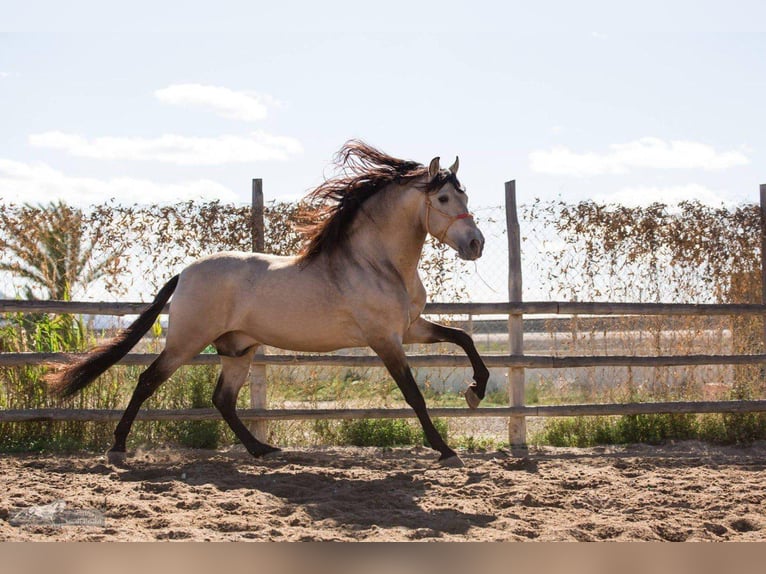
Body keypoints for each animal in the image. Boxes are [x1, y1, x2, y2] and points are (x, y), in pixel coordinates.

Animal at [48, 141, 488, 468]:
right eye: (444, 197)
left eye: (465, 194)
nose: (475, 244)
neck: (376, 262)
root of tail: (184, 273)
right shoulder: (384, 339)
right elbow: (413, 394)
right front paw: (446, 450)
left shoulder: (410, 328)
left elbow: (463, 338)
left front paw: (475, 391)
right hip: (186, 342)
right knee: (147, 381)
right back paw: (118, 449)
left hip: (238, 348)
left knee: (223, 399)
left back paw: (263, 450)